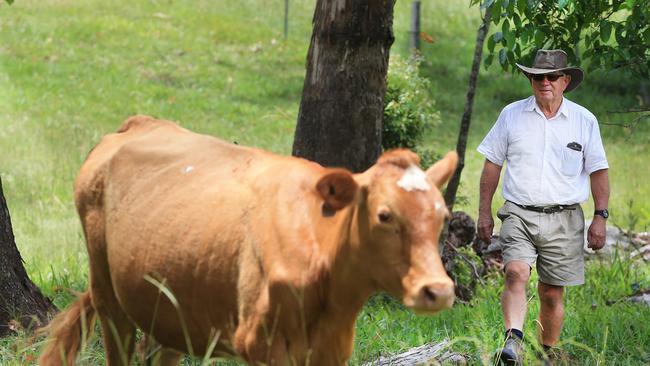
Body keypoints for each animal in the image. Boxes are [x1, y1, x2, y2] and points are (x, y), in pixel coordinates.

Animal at [39, 116, 456, 364]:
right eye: (385, 215)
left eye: (442, 216)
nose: (438, 290)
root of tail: (138, 123)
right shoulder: (259, 344)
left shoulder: (331, 350)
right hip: (110, 301)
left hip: (171, 310)